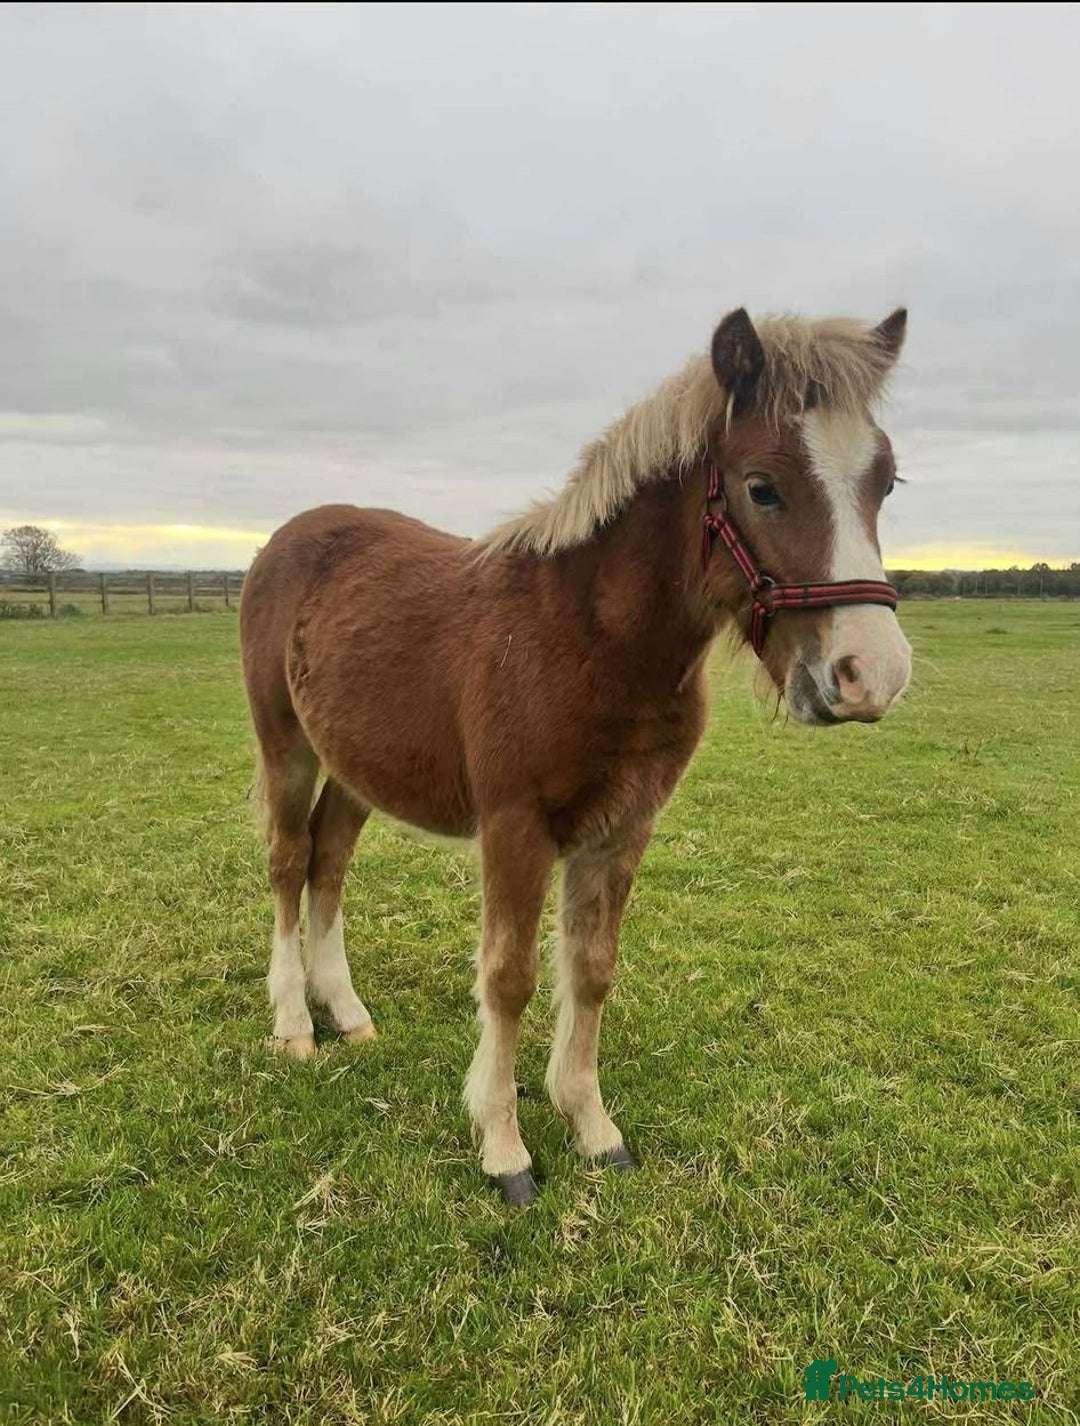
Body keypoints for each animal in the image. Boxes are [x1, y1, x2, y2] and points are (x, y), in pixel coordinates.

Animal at [239, 305, 912, 1204]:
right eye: (762, 486)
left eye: (886, 480)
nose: (872, 674)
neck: (594, 638)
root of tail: (291, 536)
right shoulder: (515, 826)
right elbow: (510, 977)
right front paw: (504, 1147)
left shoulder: (623, 828)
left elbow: (591, 968)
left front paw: (591, 1126)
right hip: (287, 744)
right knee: (287, 859)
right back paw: (292, 1024)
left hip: (356, 766)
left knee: (328, 860)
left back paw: (345, 1013)